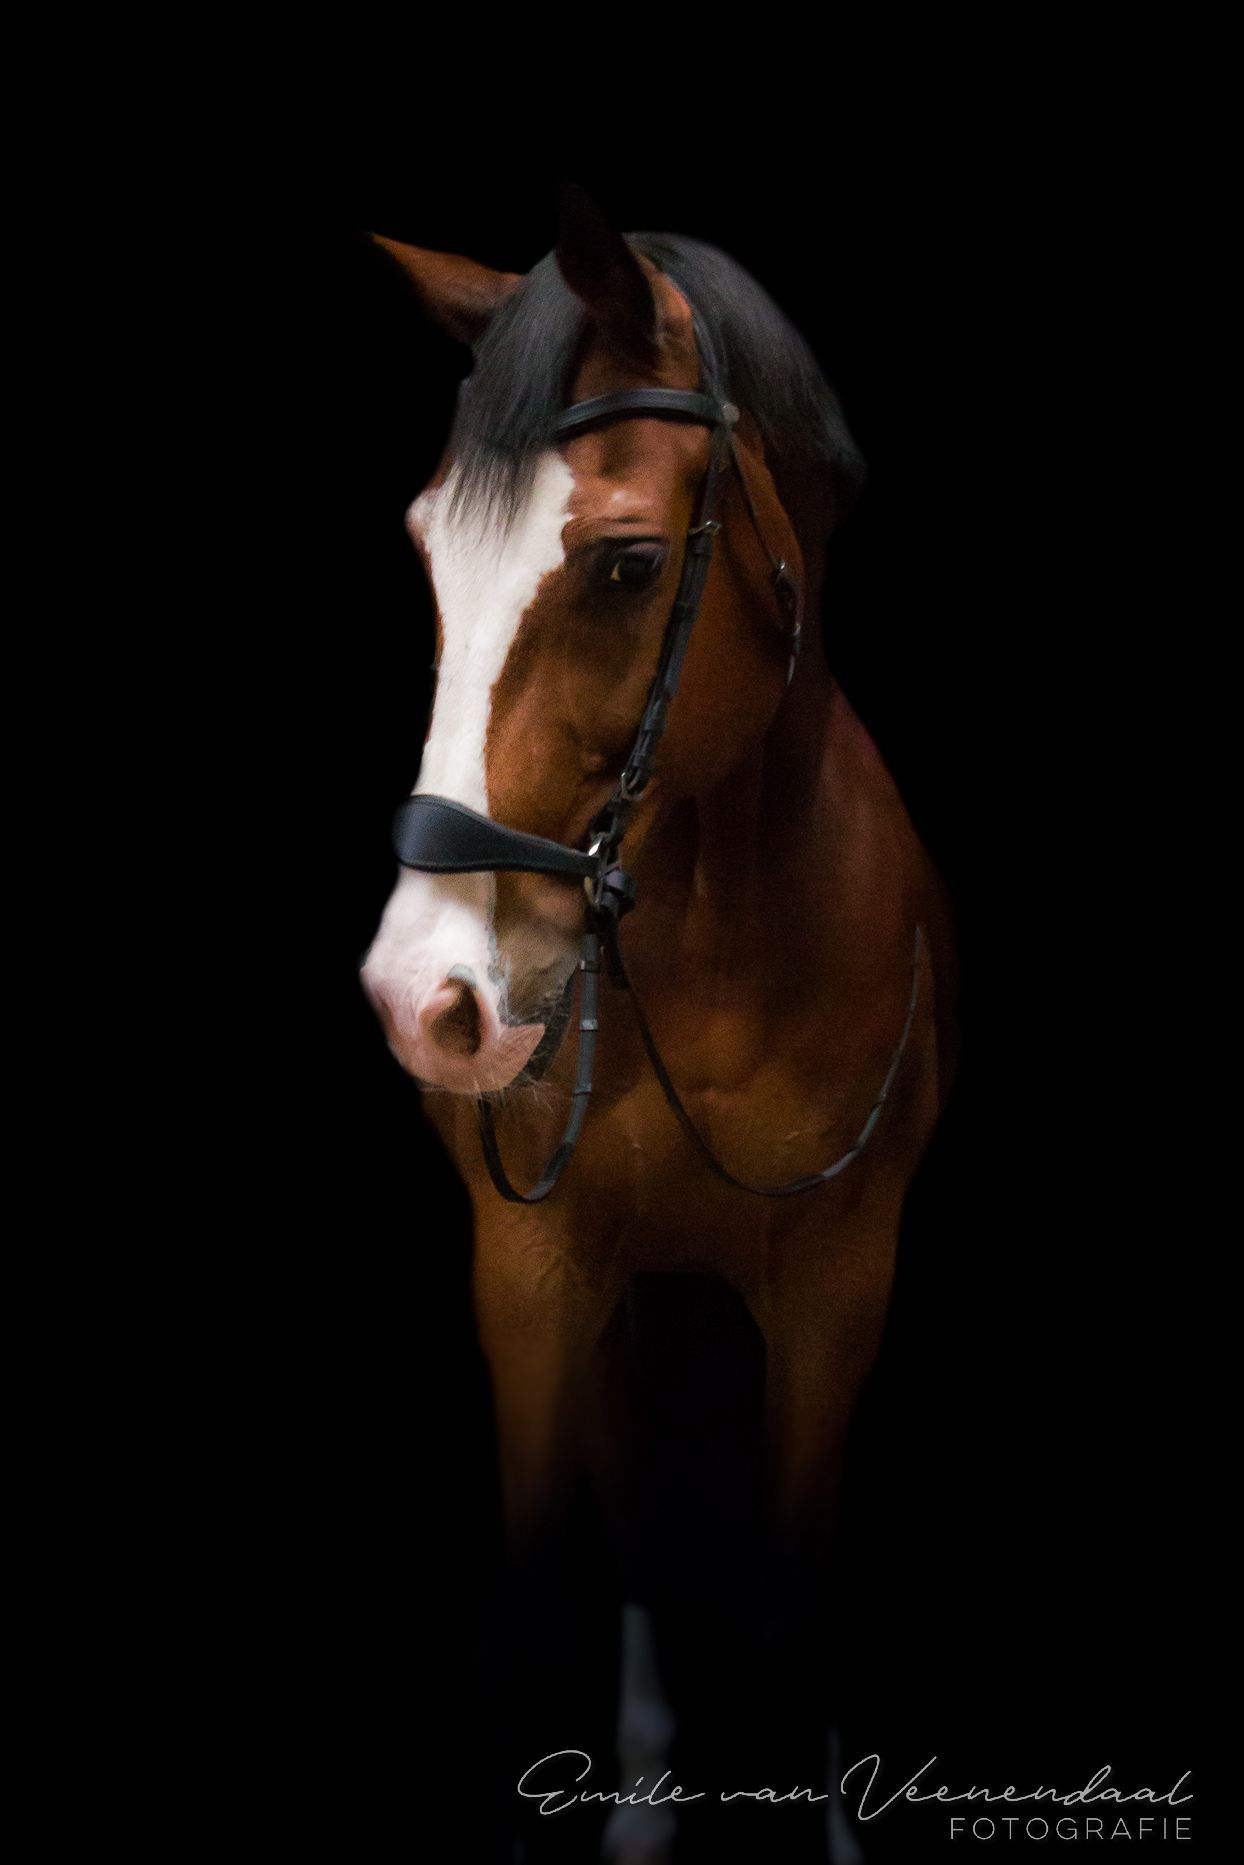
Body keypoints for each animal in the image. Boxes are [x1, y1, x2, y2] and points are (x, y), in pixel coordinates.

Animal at [359, 185, 958, 1864]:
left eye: (626, 568)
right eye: (430, 550)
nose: (425, 998)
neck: (716, 969)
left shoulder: (837, 1288)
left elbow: (790, 1594)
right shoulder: (534, 1270)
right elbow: (542, 1606)